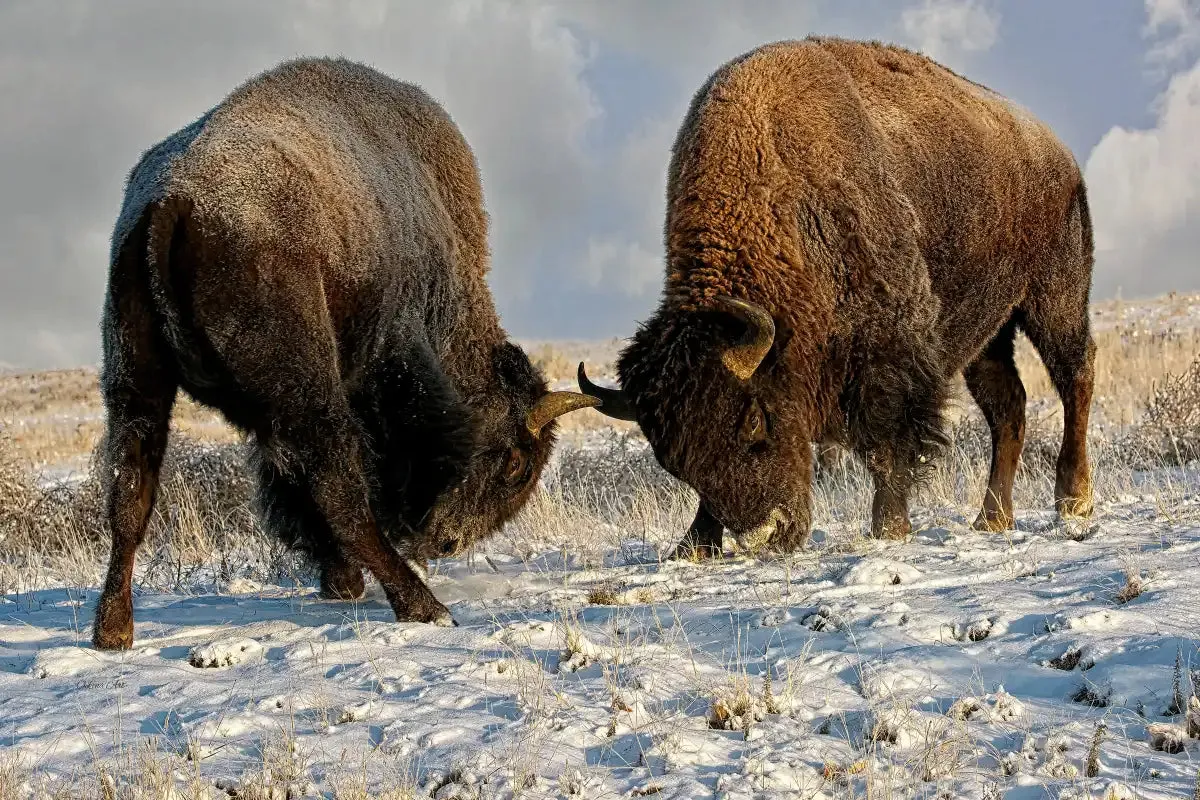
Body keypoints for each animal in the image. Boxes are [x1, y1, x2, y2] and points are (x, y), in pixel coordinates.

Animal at [93, 59, 600, 652]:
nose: (446, 540)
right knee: (339, 491)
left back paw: (113, 631)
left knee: (130, 490)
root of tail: (174, 200)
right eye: (515, 465)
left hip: (135, 379)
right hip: (304, 392)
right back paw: (426, 607)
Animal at [578, 37, 1099, 561]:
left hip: (1054, 298)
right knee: (1007, 405)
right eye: (673, 462)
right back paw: (991, 518)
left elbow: (887, 442)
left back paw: (1073, 499)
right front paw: (693, 545)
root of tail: (1058, 153)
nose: (769, 534)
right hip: (990, 331)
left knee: (1075, 374)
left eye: (756, 422)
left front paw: (889, 527)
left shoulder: (891, 354)